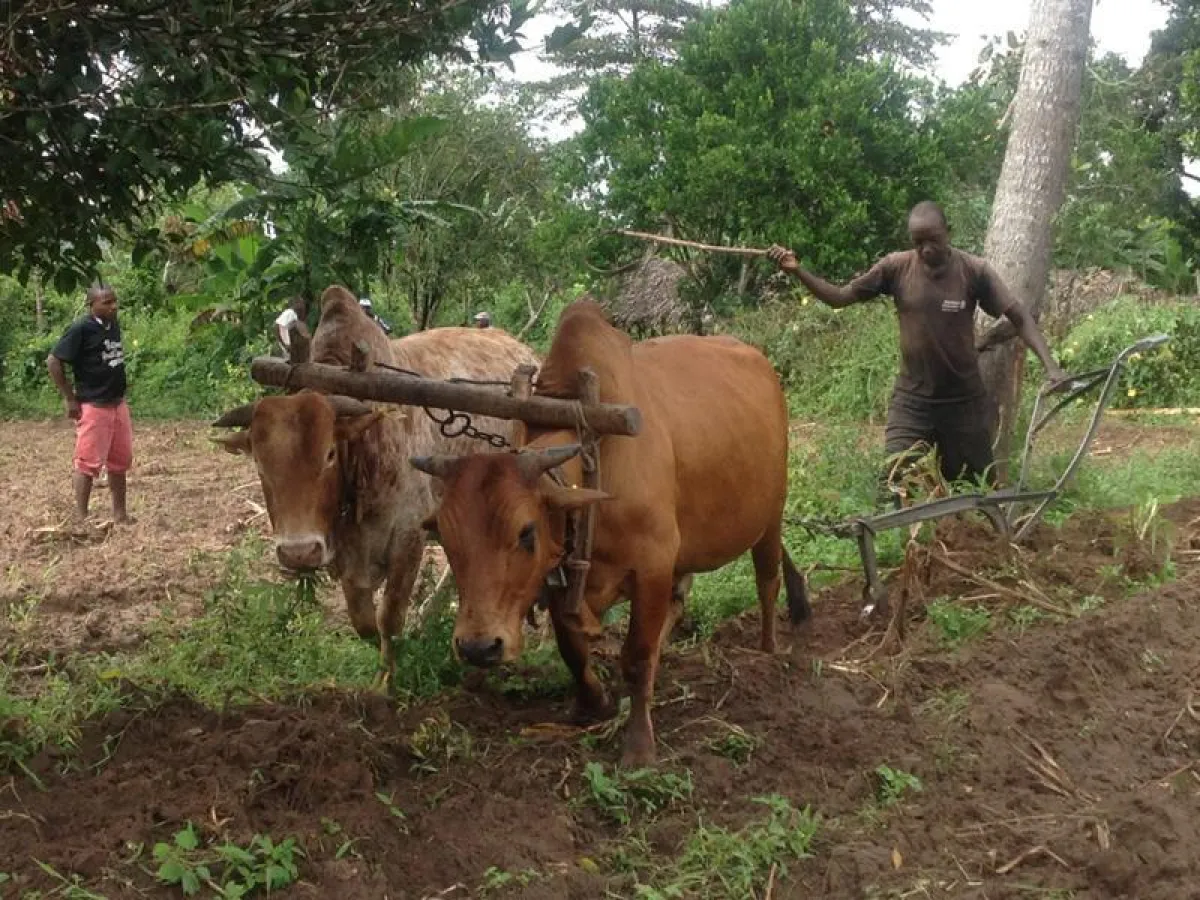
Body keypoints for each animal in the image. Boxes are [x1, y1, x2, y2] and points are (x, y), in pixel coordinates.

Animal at [212, 285, 539, 688]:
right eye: (259, 462)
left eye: (329, 453)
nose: (298, 553)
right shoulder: (347, 555)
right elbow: (364, 622)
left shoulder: (408, 539)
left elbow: (389, 620)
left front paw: (386, 682)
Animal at [410, 299, 810, 766]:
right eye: (446, 537)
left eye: (525, 532)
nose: (478, 648)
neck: (596, 462)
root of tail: (759, 361)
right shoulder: (562, 576)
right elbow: (572, 647)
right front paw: (592, 704)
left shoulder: (652, 566)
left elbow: (635, 655)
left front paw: (638, 745)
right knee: (681, 600)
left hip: (771, 516)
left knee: (767, 581)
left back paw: (766, 653)